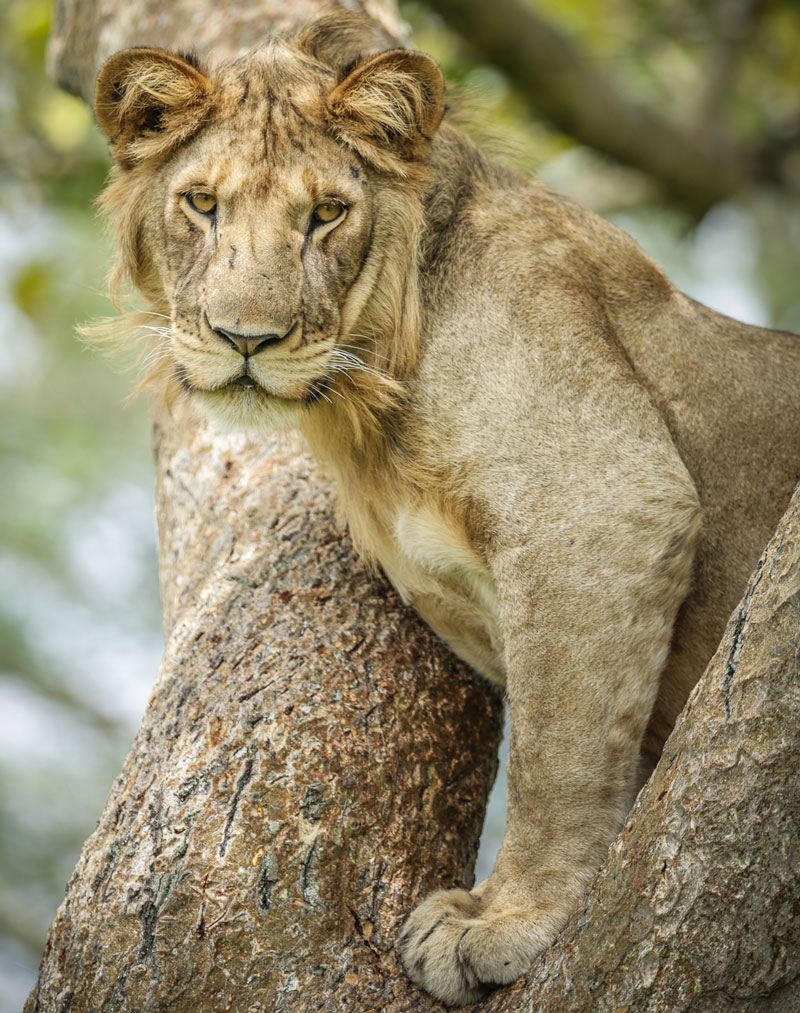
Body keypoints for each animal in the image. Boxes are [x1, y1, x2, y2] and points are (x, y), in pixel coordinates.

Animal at [94, 13, 800, 1006]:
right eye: (201, 203)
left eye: (326, 214)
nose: (246, 340)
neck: (371, 398)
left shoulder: (604, 501)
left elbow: (559, 754)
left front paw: (511, 919)